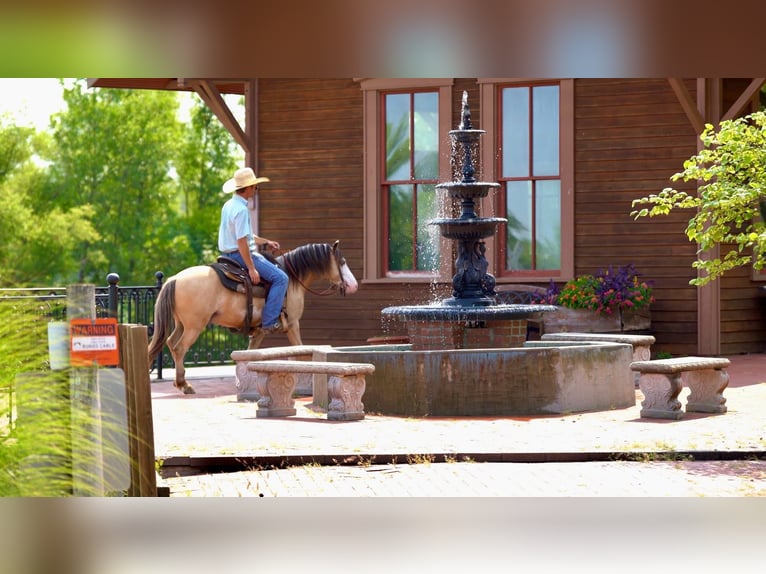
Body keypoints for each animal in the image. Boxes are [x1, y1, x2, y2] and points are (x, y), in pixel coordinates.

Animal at [147, 240, 358, 394]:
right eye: (342, 262)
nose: (353, 285)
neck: (291, 279)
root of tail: (175, 279)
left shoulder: (259, 331)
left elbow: (251, 354)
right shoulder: (292, 324)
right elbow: (301, 351)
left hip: (181, 324)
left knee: (169, 343)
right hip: (194, 326)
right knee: (179, 348)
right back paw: (184, 384)